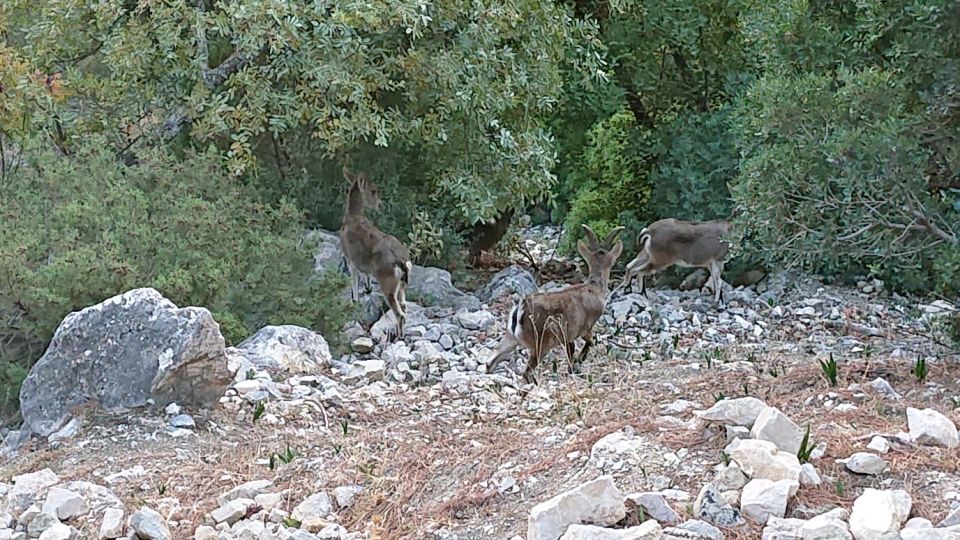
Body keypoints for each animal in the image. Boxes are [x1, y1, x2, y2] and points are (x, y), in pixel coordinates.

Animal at [338, 167, 412, 340]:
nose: (380, 204)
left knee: (400, 314)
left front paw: (354, 300)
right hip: (401, 284)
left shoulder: (349, 257)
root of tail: (402, 262)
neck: (352, 217)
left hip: (388, 282)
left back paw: (399, 336)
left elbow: (354, 280)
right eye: (374, 190)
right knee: (404, 305)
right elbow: (365, 275)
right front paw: (367, 289)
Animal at [484, 225, 628, 384]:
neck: (594, 288)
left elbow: (571, 349)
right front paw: (579, 360)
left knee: (490, 362)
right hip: (540, 343)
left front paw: (573, 367)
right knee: (527, 372)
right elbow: (589, 342)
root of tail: (520, 311)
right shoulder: (585, 328)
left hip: (510, 338)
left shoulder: (568, 336)